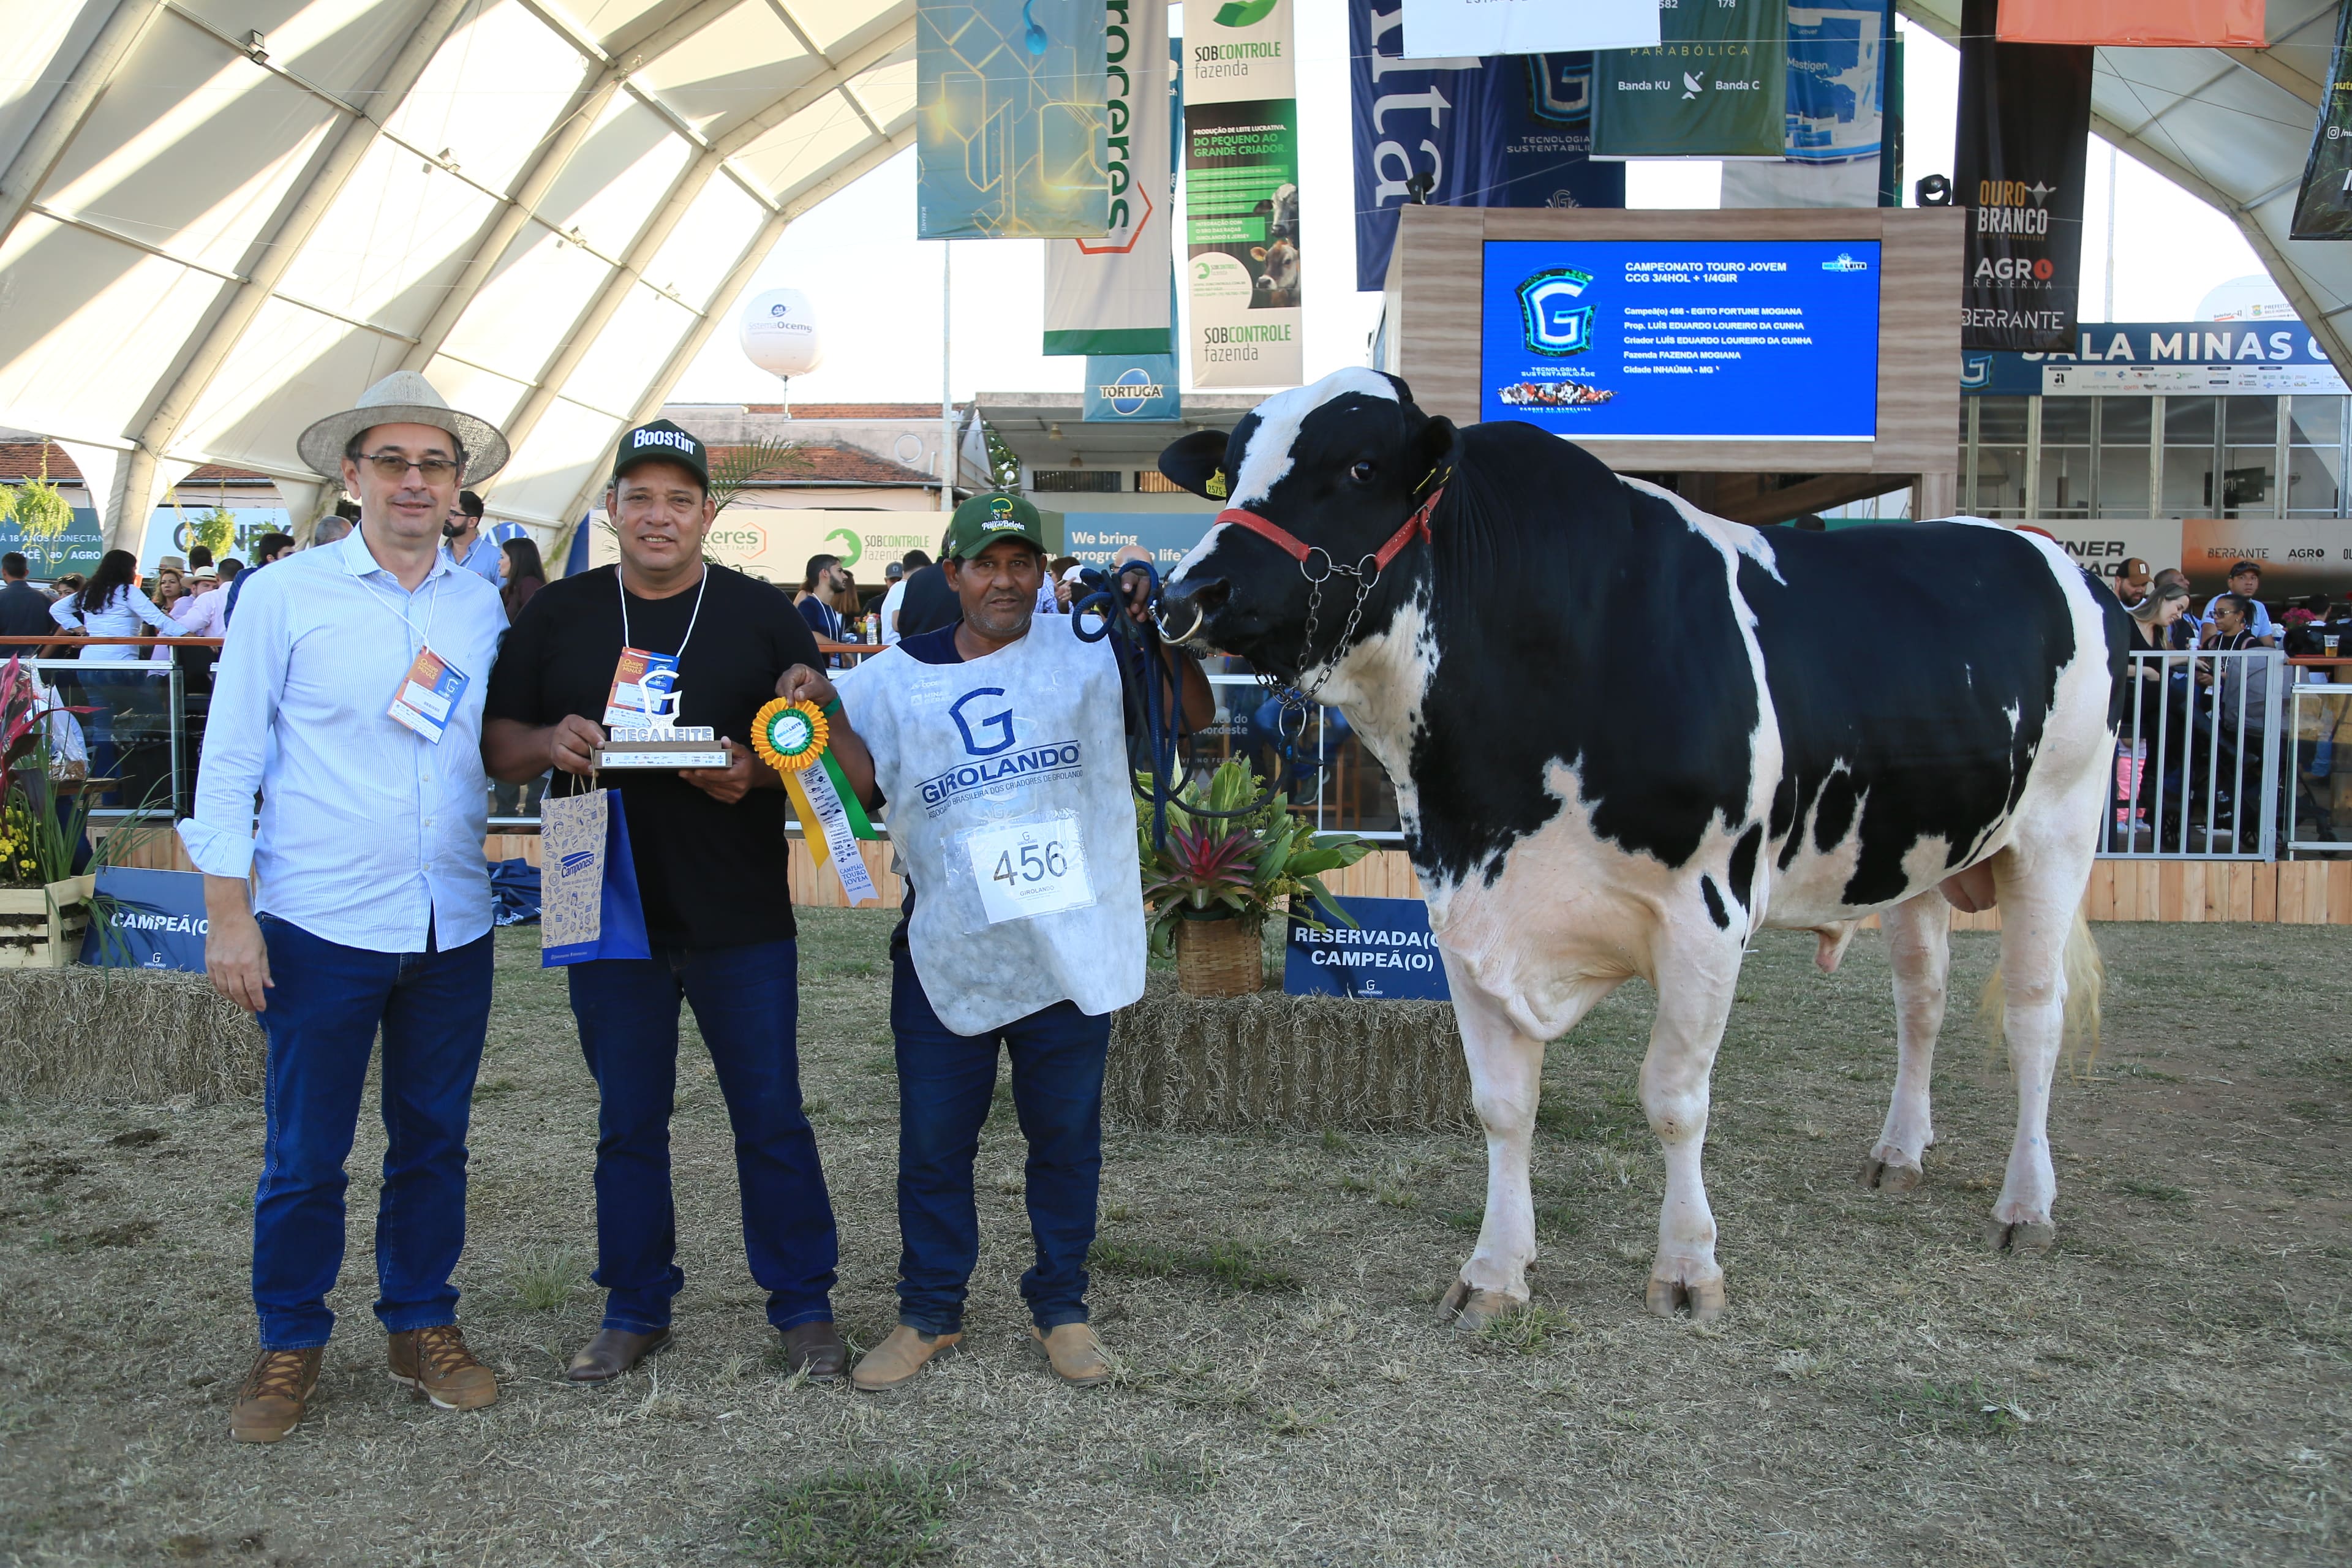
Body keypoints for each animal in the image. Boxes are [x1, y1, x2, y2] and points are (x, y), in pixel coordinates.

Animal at [1161, 364, 2135, 1325]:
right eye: (1231, 470)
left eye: (1361, 467)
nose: (1185, 595)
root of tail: (2052, 552)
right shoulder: (1463, 912)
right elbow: (1503, 1105)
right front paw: (1495, 1271)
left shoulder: (1705, 915)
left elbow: (1674, 1101)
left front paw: (1689, 1268)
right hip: (1918, 857)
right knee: (1921, 1000)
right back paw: (1899, 1154)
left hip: (2057, 833)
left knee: (2035, 1015)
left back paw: (2026, 1205)